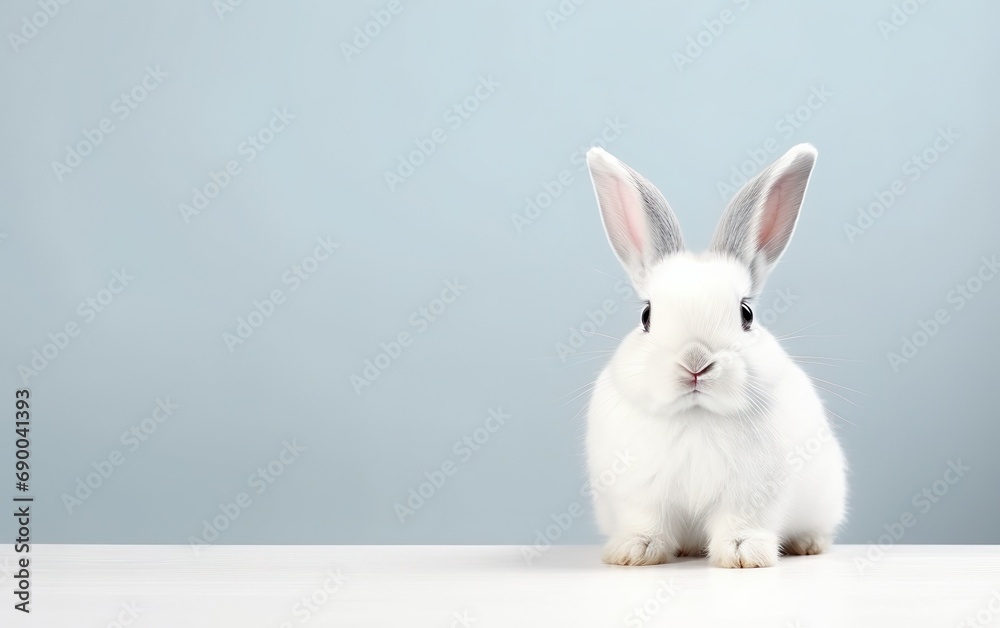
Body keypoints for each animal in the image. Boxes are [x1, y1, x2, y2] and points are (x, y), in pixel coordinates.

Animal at [583, 143, 847, 568]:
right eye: (646, 316)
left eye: (746, 313)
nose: (696, 363)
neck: (696, 415)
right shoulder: (639, 495)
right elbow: (646, 523)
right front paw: (634, 552)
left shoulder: (751, 495)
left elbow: (740, 524)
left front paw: (744, 556)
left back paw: (807, 544)